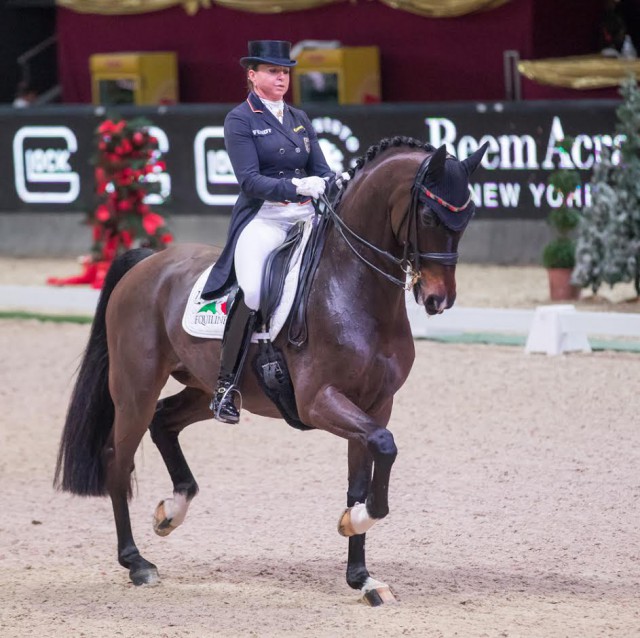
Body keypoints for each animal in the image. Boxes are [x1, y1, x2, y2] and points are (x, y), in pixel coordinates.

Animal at [56, 138, 484, 608]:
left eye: (467, 216)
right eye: (427, 216)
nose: (438, 299)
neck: (352, 288)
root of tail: (147, 262)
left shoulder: (375, 405)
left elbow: (364, 473)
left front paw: (361, 572)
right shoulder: (319, 401)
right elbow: (385, 447)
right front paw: (356, 523)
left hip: (204, 389)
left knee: (164, 421)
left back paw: (172, 511)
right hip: (136, 386)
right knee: (118, 458)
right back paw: (136, 562)